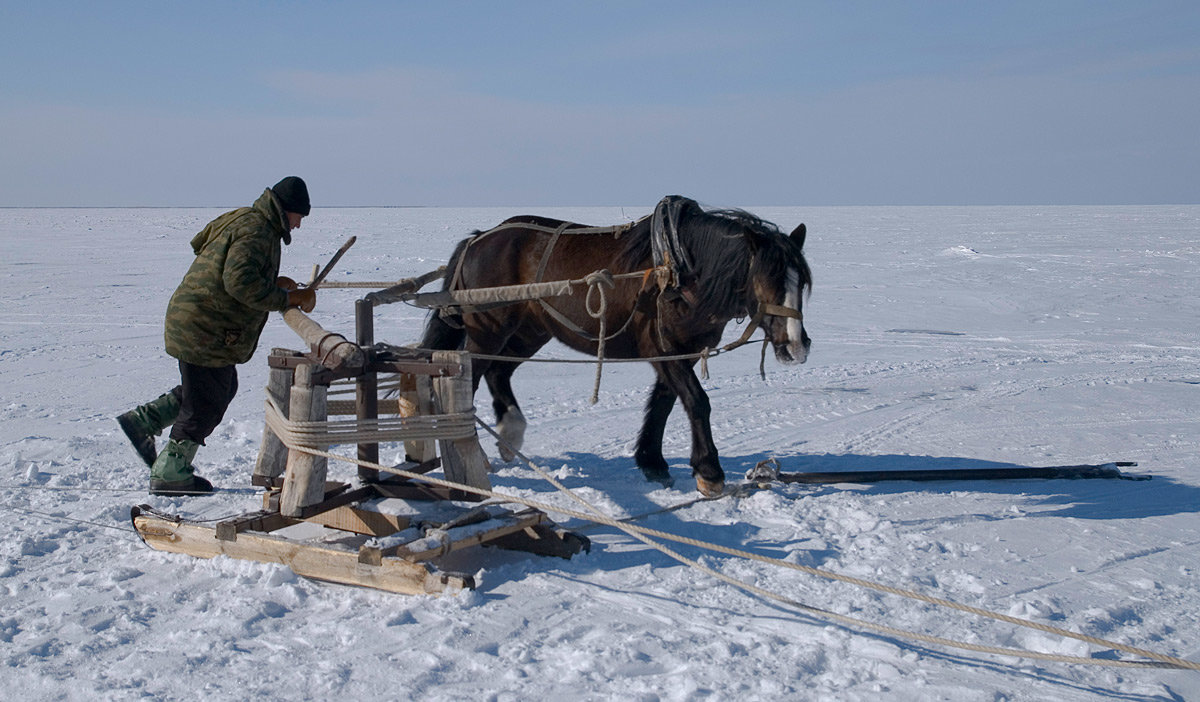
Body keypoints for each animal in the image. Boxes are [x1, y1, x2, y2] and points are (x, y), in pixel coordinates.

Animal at [417, 194, 811, 494]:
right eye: (767, 279)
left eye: (802, 282)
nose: (797, 346)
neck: (682, 270)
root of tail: (479, 239)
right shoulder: (662, 348)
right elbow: (696, 401)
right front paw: (709, 473)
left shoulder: (678, 350)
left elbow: (664, 402)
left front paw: (653, 462)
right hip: (491, 328)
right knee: (469, 375)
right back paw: (478, 452)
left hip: (530, 331)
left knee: (498, 372)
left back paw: (509, 435)